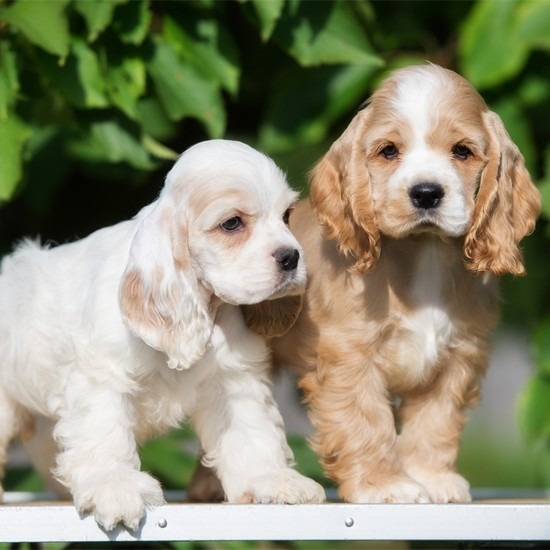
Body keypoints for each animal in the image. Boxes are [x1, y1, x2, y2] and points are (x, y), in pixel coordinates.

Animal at [0, 140, 326, 532]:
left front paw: (271, 479)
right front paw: (115, 486)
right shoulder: (101, 380)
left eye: (287, 215)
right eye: (232, 223)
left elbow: (252, 434)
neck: (206, 307)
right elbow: (104, 434)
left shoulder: (234, 381)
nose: (291, 257)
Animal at [253, 63, 544, 504]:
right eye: (388, 151)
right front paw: (383, 485)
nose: (426, 193)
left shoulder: (459, 358)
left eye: (462, 151)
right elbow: (366, 421)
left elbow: (436, 421)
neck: (424, 256)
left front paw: (433, 478)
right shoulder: (351, 356)